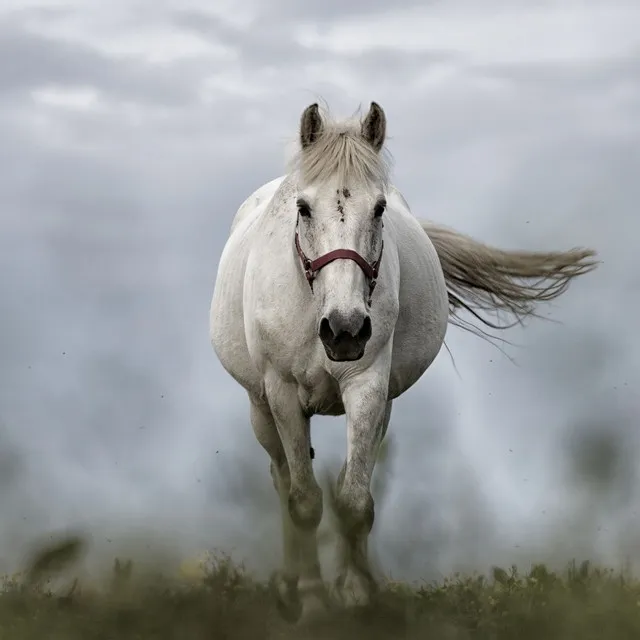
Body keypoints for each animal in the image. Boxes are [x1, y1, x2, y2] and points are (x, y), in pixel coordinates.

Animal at [209, 104, 596, 620]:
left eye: (379, 209)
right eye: (303, 208)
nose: (346, 330)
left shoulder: (368, 387)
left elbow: (354, 500)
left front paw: (356, 594)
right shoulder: (283, 394)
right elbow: (305, 501)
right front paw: (311, 602)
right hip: (260, 407)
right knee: (282, 479)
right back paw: (289, 585)